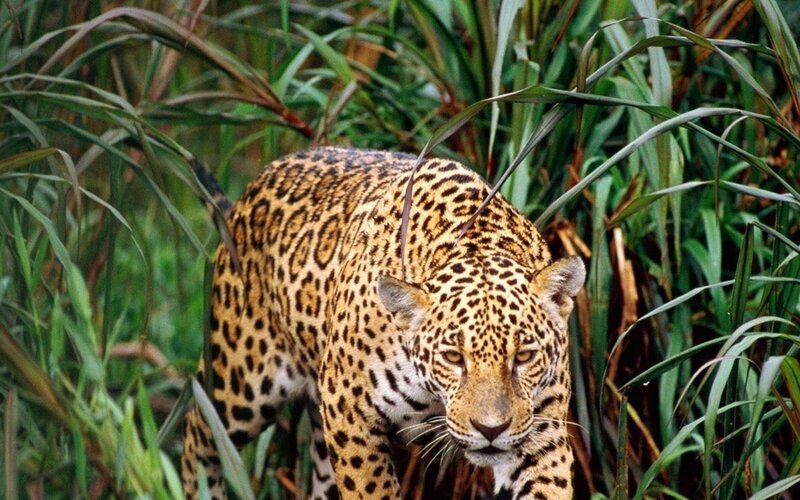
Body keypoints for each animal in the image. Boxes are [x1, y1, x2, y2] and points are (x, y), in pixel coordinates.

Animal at [181, 147, 585, 499]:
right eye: (454, 358)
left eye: (524, 357)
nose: (491, 429)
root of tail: (256, 184)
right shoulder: (349, 412)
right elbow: (371, 489)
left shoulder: (542, 434)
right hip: (240, 382)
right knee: (197, 436)